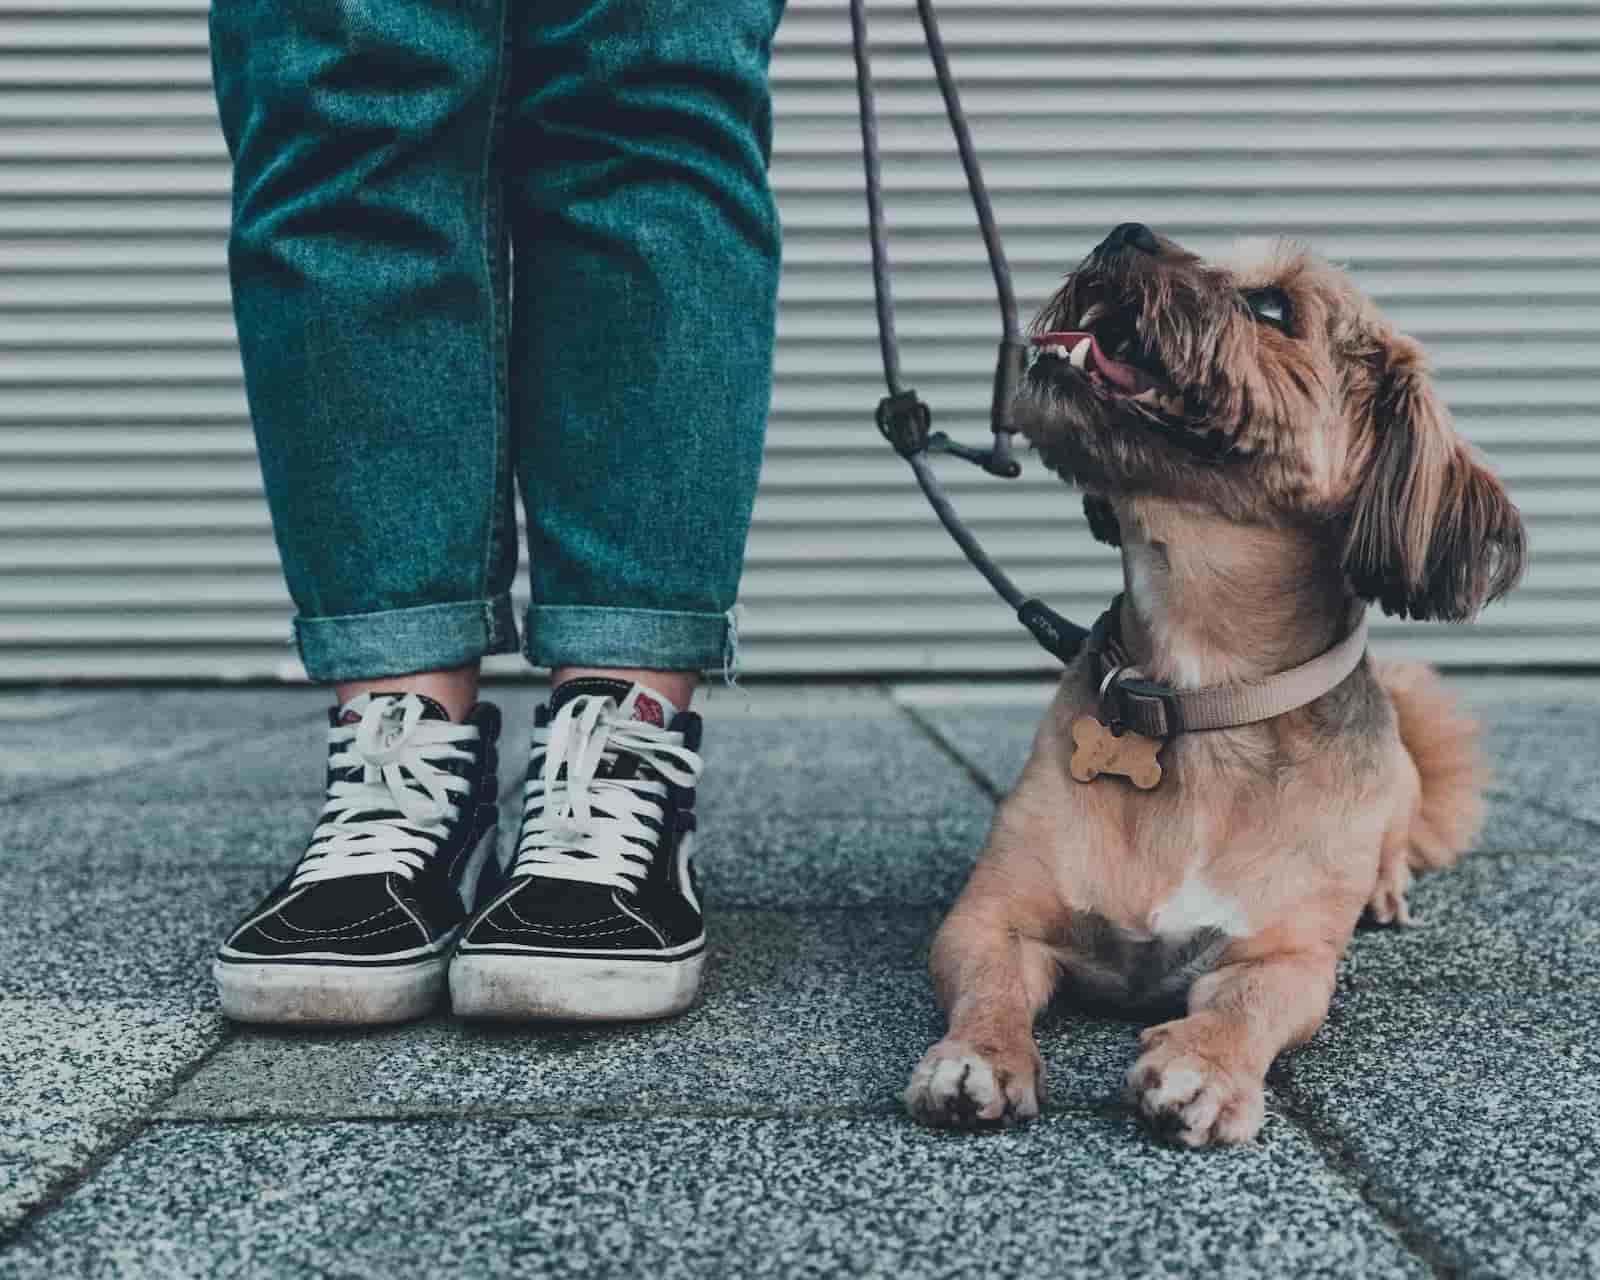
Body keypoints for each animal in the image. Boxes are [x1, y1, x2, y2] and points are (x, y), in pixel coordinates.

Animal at [902, 222, 1523, 1152]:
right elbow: (992, 988)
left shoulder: (1282, 960)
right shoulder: (990, 919)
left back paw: (1382, 890)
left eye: (1270, 306)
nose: (1123, 233)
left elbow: (1251, 1008)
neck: (1197, 699)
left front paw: (1205, 1066)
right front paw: (978, 1056)